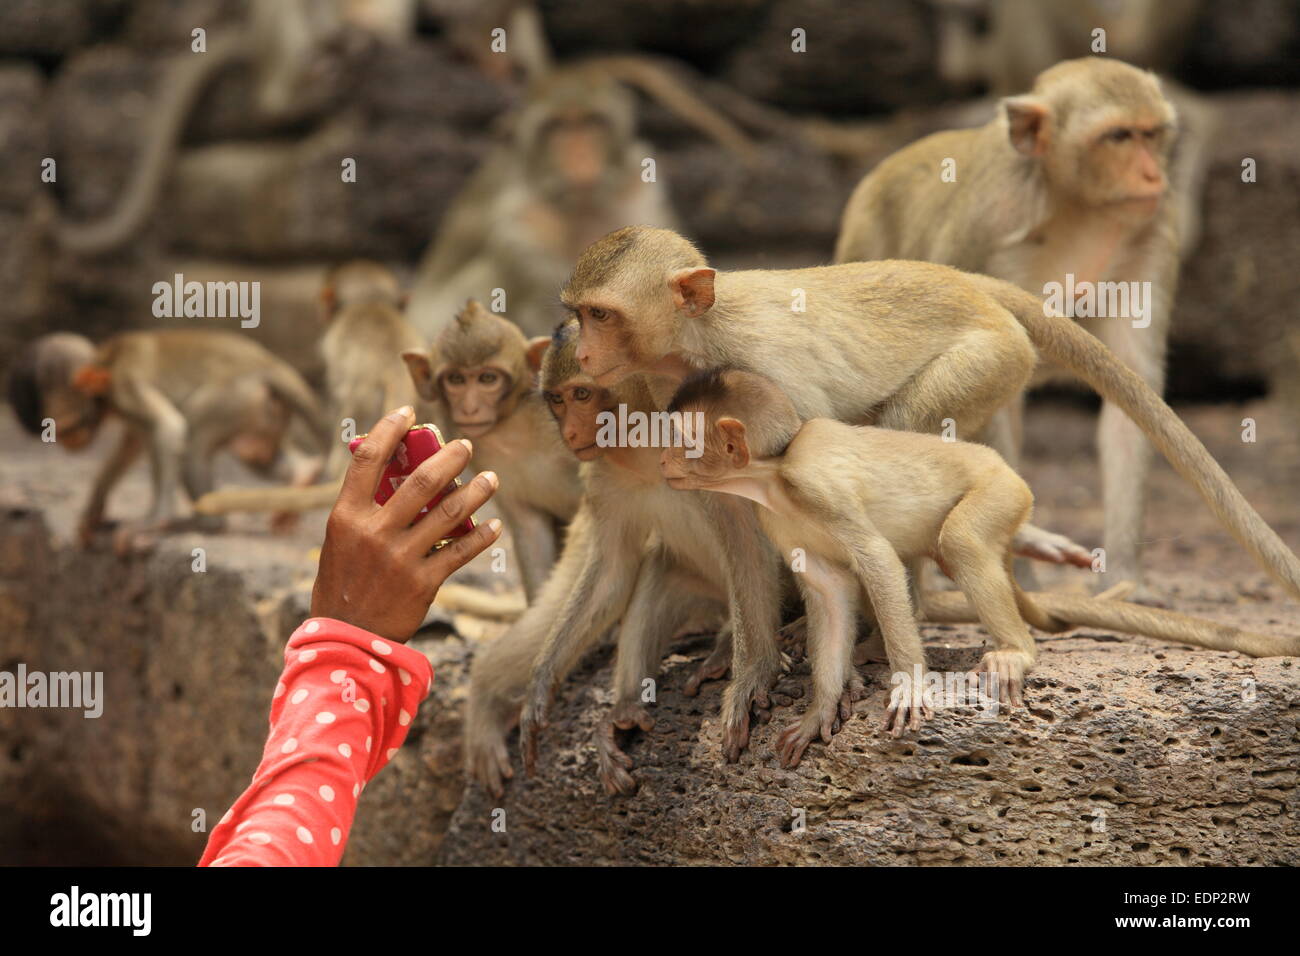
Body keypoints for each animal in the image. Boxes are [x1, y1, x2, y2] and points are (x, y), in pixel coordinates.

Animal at [467, 325, 738, 796]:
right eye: (556, 399)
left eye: (582, 394)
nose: (571, 431)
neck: (644, 447)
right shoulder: (604, 477)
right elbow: (613, 573)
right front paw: (542, 680)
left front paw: (729, 650)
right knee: (654, 571)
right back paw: (625, 707)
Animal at [665, 366, 1294, 770]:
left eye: (681, 441)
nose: (665, 462)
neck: (773, 473)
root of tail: (1005, 469)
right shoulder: (780, 522)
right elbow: (829, 592)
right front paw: (821, 707)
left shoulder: (815, 487)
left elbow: (877, 560)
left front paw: (908, 682)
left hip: (1001, 490)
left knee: (963, 540)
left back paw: (1014, 649)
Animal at [837, 55, 1190, 590]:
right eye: (1118, 137)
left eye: (1151, 134)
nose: (1153, 176)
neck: (1076, 209)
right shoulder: (990, 228)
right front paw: (1015, 562)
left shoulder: (1153, 229)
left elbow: (1131, 399)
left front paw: (1124, 578)